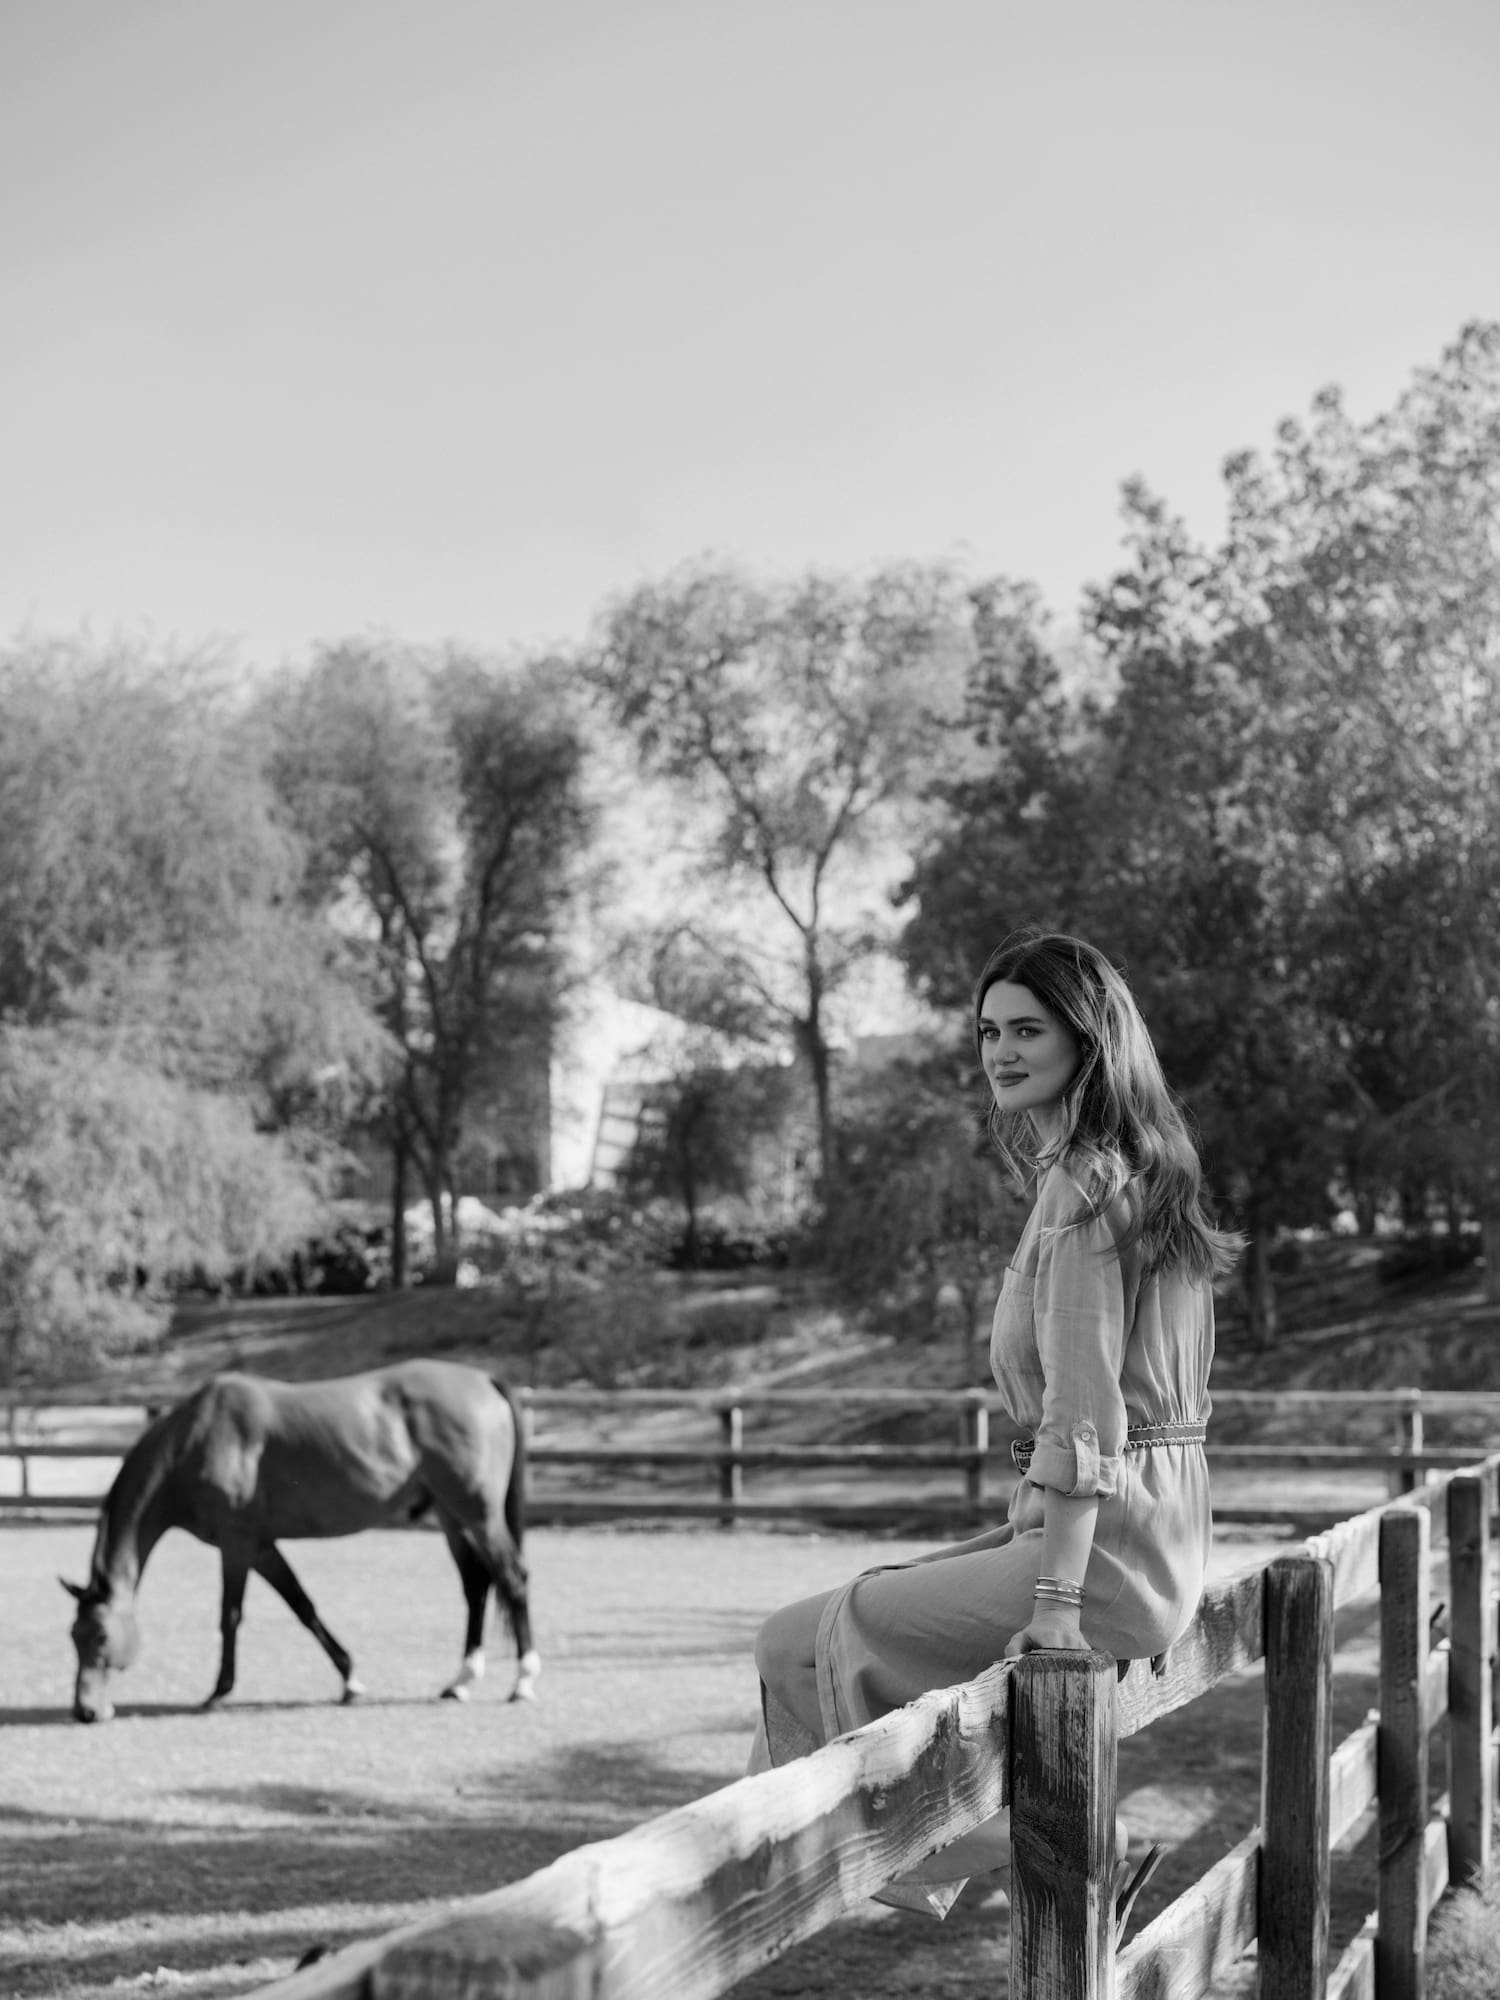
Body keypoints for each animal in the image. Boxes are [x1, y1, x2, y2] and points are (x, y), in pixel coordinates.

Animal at [62, 1359, 539, 1723]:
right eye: (73, 1636)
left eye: (100, 1636)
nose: (86, 1711)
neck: (198, 1439)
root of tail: (484, 1380)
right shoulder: (260, 1546)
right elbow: (303, 1606)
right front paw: (349, 1679)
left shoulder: (236, 1545)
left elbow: (230, 1616)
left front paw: (219, 1692)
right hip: (451, 1516)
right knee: (476, 1586)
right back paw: (461, 1681)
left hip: (478, 1516)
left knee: (512, 1579)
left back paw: (523, 1681)